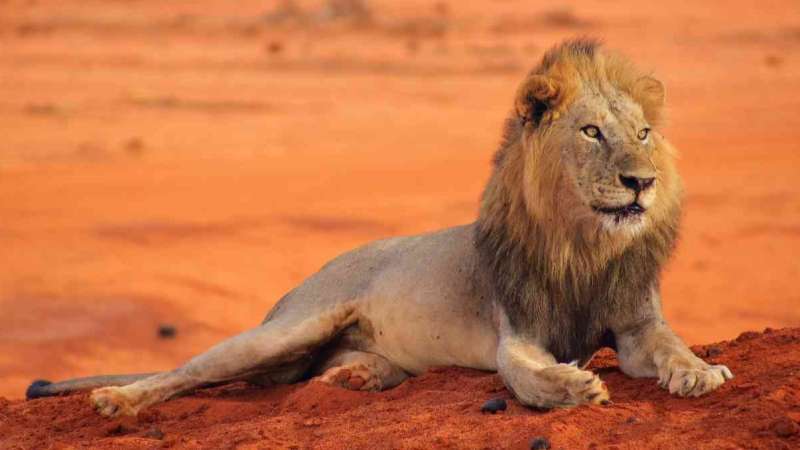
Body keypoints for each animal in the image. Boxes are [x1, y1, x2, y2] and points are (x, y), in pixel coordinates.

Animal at [27, 39, 732, 417]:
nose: (642, 181)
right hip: (290, 326)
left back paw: (354, 377)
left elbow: (668, 345)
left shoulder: (636, 324)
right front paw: (572, 385)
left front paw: (699, 372)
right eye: (591, 132)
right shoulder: (518, 331)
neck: (583, 245)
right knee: (192, 370)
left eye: (643, 132)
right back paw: (117, 399)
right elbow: (525, 375)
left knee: (318, 371)